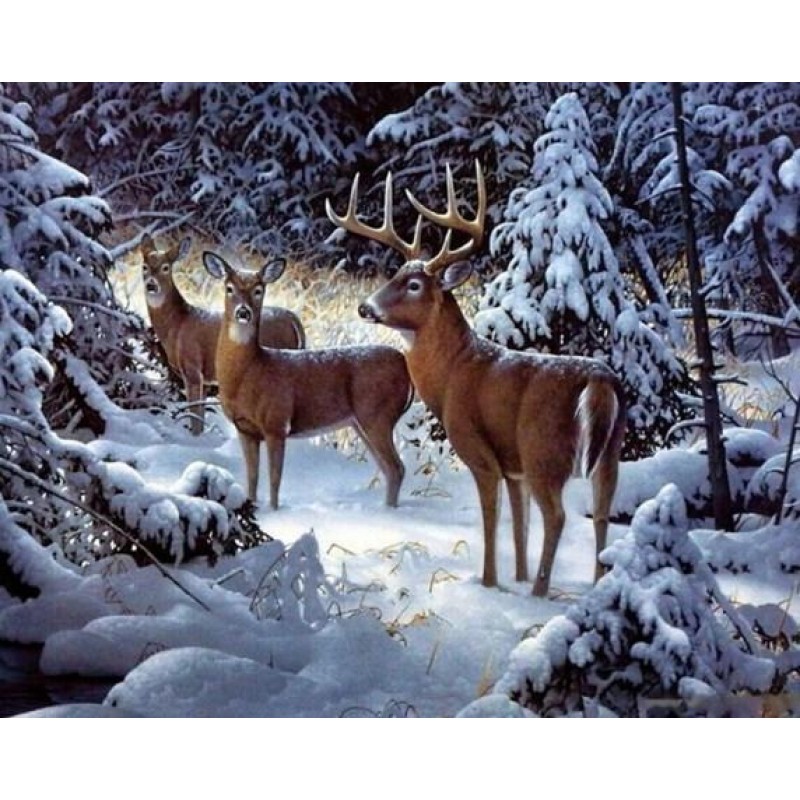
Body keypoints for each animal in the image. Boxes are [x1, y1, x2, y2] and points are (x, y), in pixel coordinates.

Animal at [140, 234, 305, 434]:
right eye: (144, 266)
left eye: (166, 267)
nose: (151, 285)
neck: (178, 324)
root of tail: (294, 319)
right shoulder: (205, 379)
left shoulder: (192, 367)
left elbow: (195, 417)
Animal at [202, 250, 413, 510]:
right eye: (229, 288)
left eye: (259, 290)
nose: (243, 312)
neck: (250, 373)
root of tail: (405, 366)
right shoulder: (245, 429)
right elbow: (252, 478)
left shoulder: (277, 423)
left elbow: (275, 479)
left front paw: (274, 511)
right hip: (361, 422)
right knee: (389, 469)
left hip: (378, 414)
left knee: (396, 468)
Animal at [326, 163, 626, 596]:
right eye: (394, 274)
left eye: (413, 285)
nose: (366, 307)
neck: (453, 373)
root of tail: (600, 380)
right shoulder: (513, 465)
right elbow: (519, 524)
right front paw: (517, 576)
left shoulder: (480, 450)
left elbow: (492, 518)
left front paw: (490, 583)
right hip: (609, 453)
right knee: (601, 514)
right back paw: (596, 586)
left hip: (544, 450)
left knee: (557, 516)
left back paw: (539, 594)